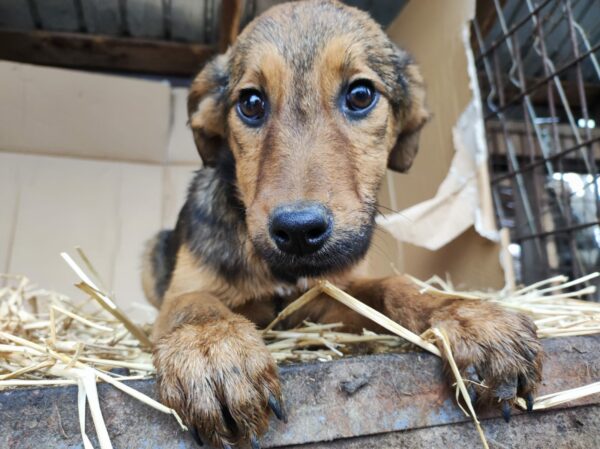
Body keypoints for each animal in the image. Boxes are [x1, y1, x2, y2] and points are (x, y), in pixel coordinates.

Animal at [142, 1, 544, 446]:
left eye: (360, 94)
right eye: (250, 102)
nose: (298, 231)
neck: (284, 273)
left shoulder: (328, 301)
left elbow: (396, 286)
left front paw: (467, 316)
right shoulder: (184, 290)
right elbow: (194, 305)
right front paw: (213, 351)